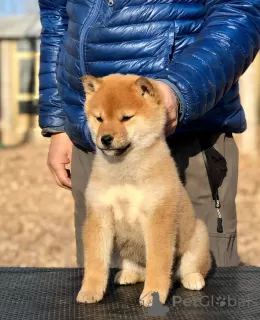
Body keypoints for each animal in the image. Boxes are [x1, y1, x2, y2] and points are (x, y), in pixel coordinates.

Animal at [76, 74, 210, 306]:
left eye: (126, 118)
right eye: (99, 118)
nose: (105, 138)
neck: (124, 170)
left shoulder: (158, 217)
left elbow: (158, 263)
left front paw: (153, 294)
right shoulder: (99, 214)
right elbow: (95, 261)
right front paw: (90, 291)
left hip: (199, 237)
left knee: (188, 268)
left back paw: (193, 279)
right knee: (137, 268)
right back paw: (127, 274)